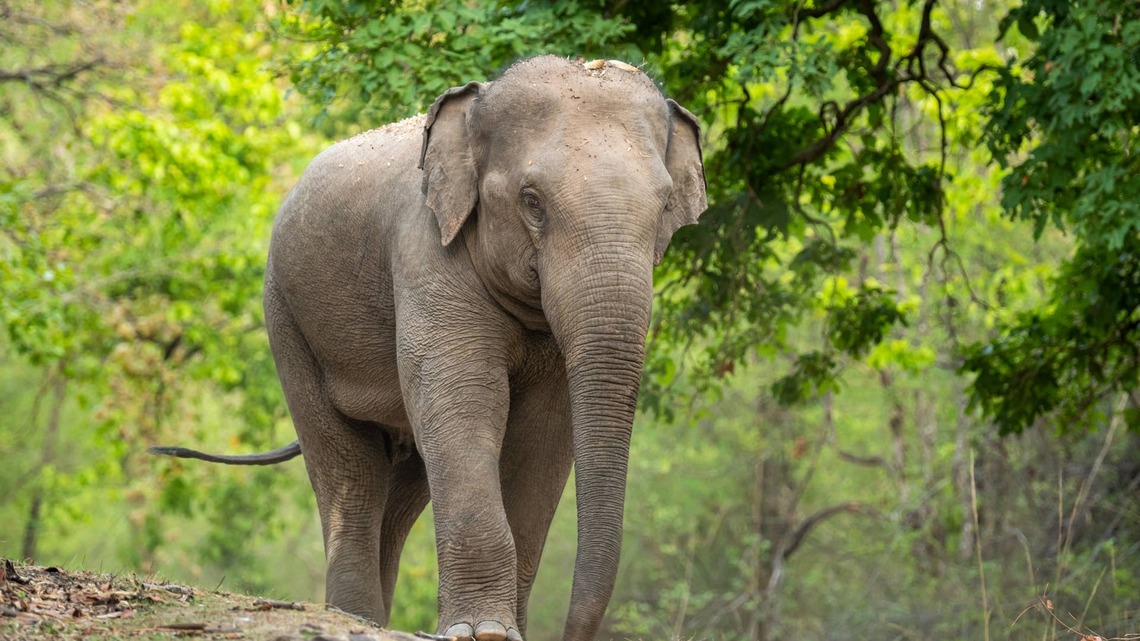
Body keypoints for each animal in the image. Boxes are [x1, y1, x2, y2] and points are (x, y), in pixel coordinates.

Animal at [151, 55, 707, 641]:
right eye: (532, 201)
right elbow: (464, 399)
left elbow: (544, 432)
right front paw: (483, 632)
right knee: (348, 469)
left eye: (665, 206)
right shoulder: (424, 253)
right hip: (286, 320)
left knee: (401, 489)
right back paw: (353, 617)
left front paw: (503, 631)